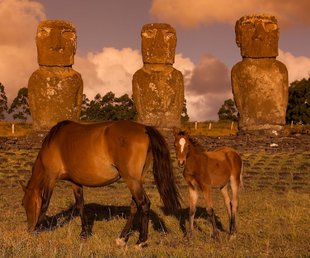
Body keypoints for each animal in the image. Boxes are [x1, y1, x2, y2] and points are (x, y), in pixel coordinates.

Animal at [20, 121, 180, 248]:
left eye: (24, 204)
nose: (29, 228)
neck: (54, 142)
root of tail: (144, 128)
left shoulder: (50, 178)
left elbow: (45, 203)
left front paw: (38, 229)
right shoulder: (75, 182)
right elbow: (80, 205)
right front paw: (84, 233)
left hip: (132, 180)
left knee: (144, 204)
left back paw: (140, 241)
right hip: (137, 179)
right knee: (135, 205)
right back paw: (122, 239)